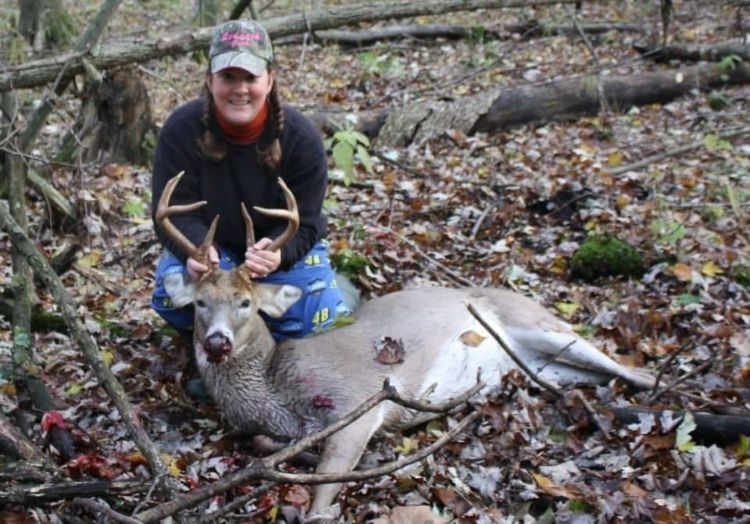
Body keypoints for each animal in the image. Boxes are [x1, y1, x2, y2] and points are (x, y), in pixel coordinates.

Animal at [155, 172, 655, 513]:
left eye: (245, 302)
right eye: (200, 303)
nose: (217, 343)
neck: (274, 382)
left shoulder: (357, 401)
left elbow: (323, 494)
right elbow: (265, 444)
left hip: (537, 322)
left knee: (636, 371)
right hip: (538, 363)